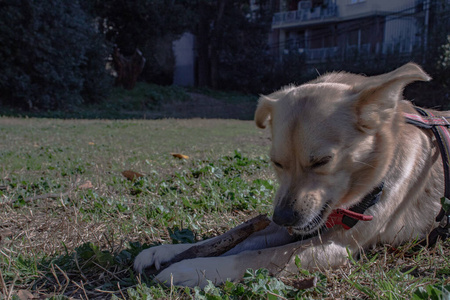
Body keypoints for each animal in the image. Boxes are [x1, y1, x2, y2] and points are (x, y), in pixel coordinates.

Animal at [133, 62, 442, 288]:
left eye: (322, 161)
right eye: (276, 163)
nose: (282, 217)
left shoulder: (337, 247)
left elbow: (255, 256)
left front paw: (193, 268)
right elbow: (232, 239)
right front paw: (166, 251)